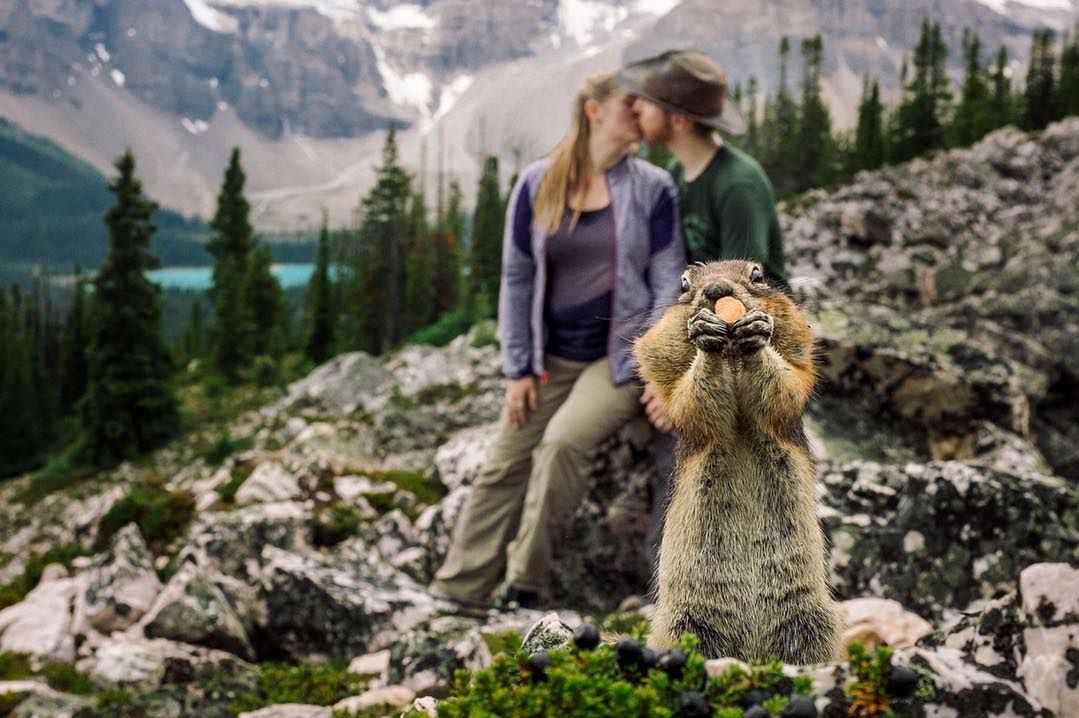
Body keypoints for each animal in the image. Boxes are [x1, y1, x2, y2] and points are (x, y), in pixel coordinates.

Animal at [630, 258, 841, 660]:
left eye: (756, 274)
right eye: (684, 283)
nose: (716, 290)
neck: (732, 357)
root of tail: (751, 652)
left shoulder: (799, 352)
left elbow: (787, 384)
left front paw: (756, 333)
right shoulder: (666, 373)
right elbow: (687, 399)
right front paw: (705, 336)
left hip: (814, 621)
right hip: (683, 623)